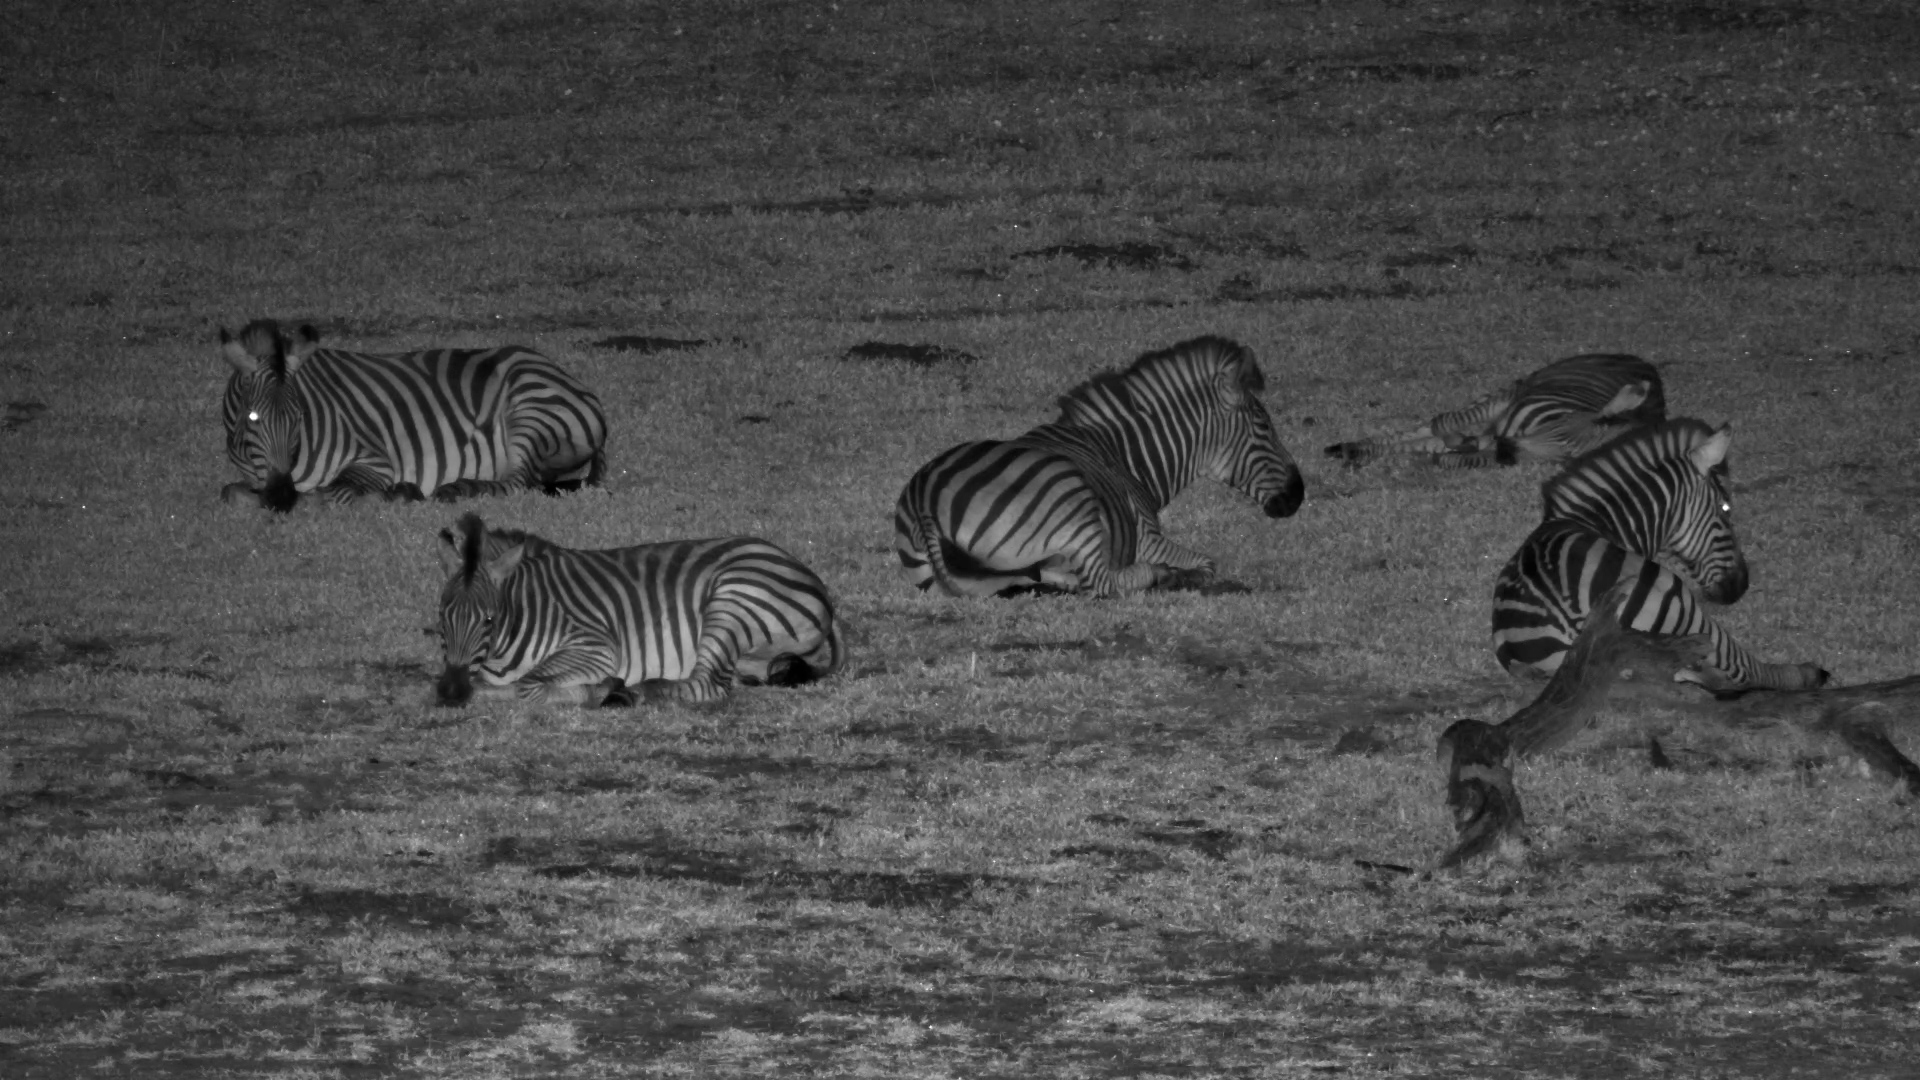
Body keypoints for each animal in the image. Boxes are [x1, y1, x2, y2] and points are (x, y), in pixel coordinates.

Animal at [219, 319, 607, 512]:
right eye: (252, 418)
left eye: (299, 416)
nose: (281, 499)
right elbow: (230, 492)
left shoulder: (375, 461)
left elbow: (331, 494)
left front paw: (397, 493)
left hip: (530, 410)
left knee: (516, 483)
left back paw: (458, 489)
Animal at [434, 513, 844, 707]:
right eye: (442, 619)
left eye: (488, 620)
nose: (451, 692)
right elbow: (484, 687)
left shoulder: (595, 646)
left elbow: (527, 686)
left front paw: (595, 690)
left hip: (731, 600)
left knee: (707, 686)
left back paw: (633, 692)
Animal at [892, 335, 1305, 598]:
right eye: (1264, 426)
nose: (1299, 495)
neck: (1127, 457)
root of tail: (925, 503)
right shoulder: (1148, 538)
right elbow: (1207, 565)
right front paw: (1180, 574)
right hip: (1072, 500)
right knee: (1101, 583)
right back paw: (1157, 576)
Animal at [1326, 353, 1665, 469]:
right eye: (1560, 425)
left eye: (1569, 457)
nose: (1506, 451)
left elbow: (1448, 458)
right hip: (1503, 396)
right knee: (1435, 425)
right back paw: (1353, 448)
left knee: (1431, 437)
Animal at [1491, 417, 1827, 691]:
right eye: (1725, 508)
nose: (1741, 586)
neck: (1598, 523)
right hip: (1679, 608)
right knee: (1739, 667)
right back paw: (1808, 674)